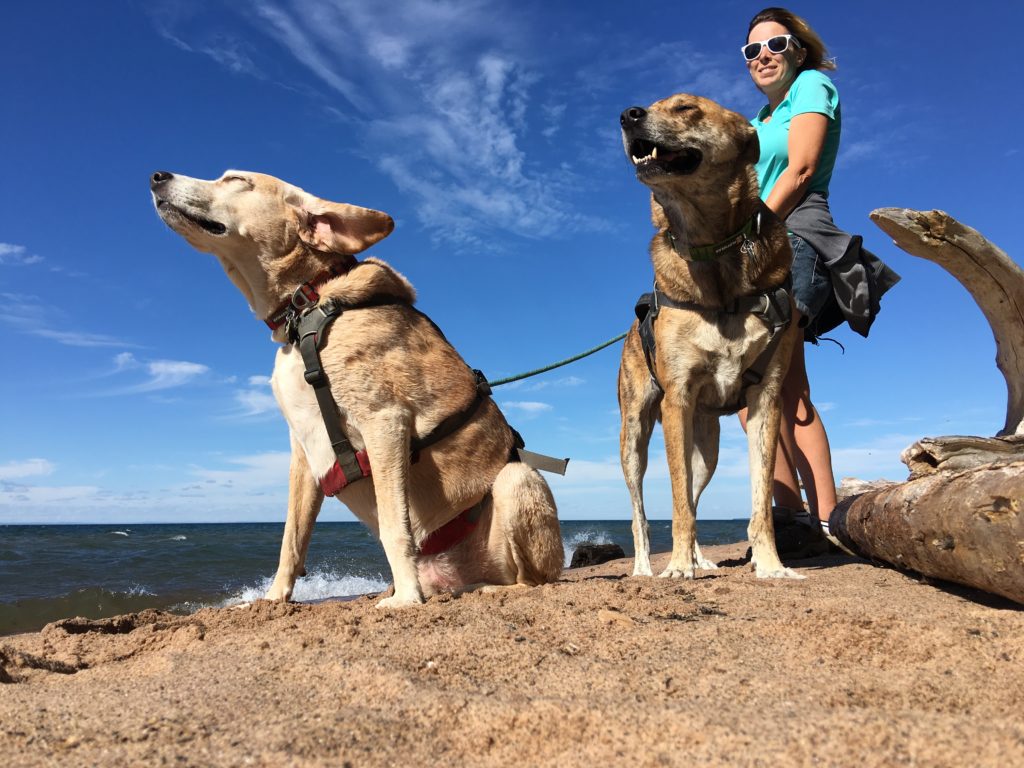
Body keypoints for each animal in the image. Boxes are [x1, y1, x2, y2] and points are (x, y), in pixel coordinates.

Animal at [150, 171, 565, 610]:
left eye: (236, 179)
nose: (157, 175)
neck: (307, 307)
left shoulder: (384, 421)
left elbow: (395, 525)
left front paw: (406, 598)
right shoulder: (302, 451)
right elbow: (291, 538)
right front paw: (273, 598)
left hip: (517, 480)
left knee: (531, 580)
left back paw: (476, 588)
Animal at [614, 93, 798, 581]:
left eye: (686, 108)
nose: (628, 115)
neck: (713, 251)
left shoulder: (766, 397)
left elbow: (760, 500)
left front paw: (771, 566)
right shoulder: (677, 397)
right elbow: (676, 503)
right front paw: (678, 567)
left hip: (708, 446)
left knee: (695, 495)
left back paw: (701, 558)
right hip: (634, 433)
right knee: (641, 511)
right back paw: (646, 567)